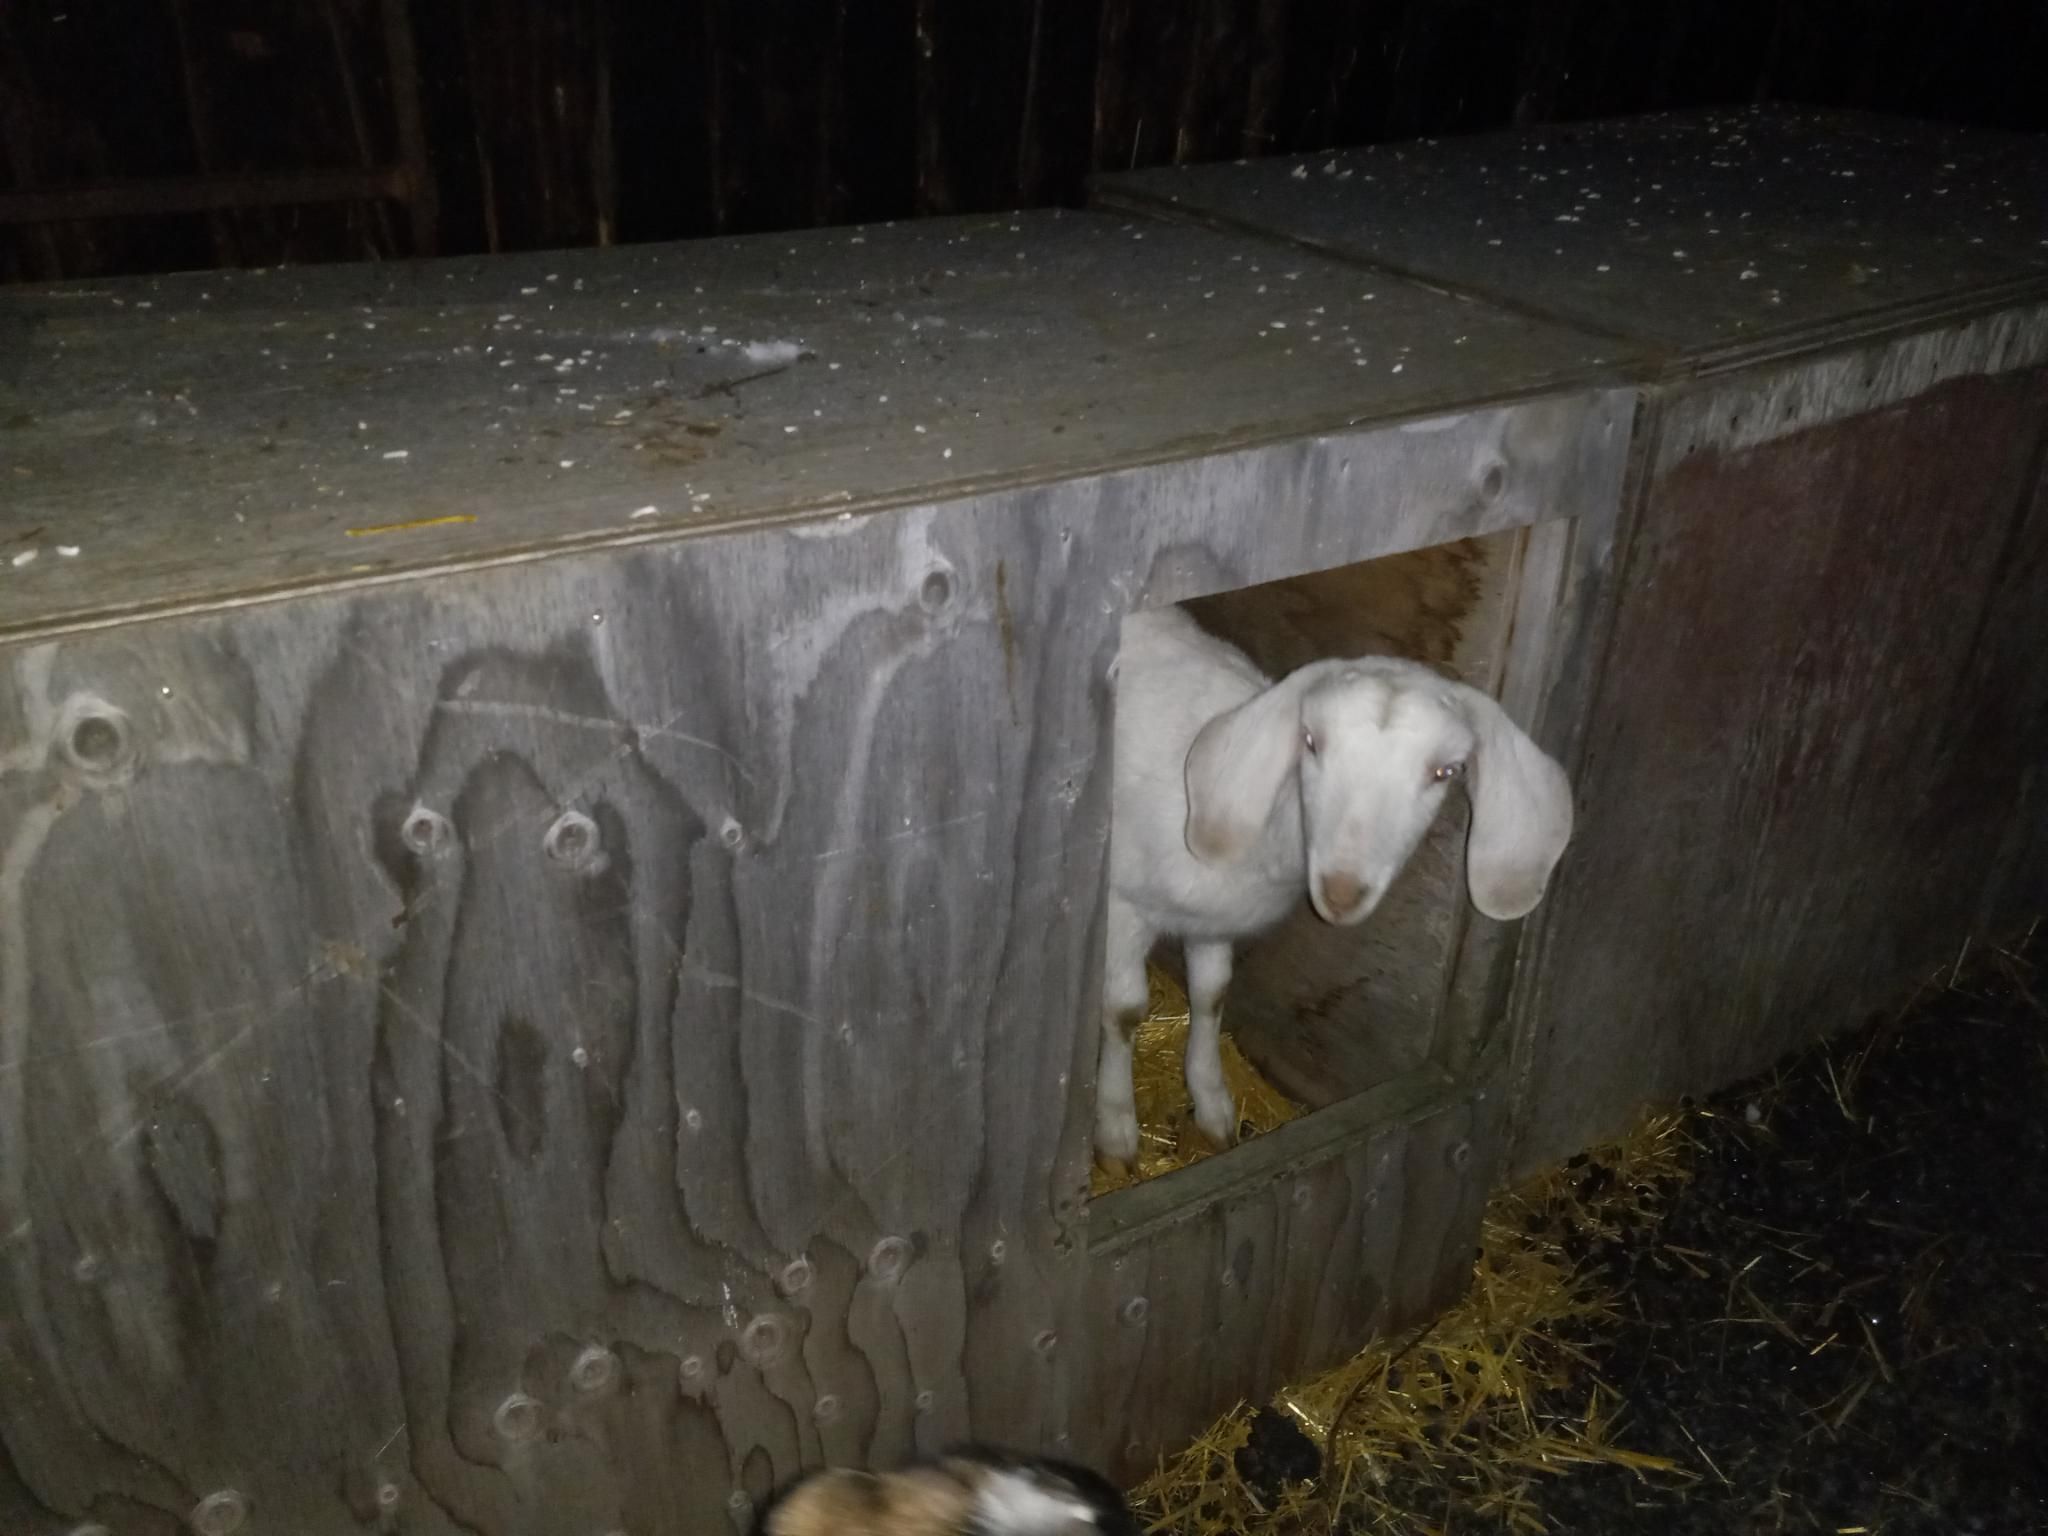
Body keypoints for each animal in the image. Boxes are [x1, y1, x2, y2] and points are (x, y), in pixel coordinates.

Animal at [1094, 603, 1574, 1176]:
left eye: (1446, 771)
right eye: (1310, 741)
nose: (1342, 891)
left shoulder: (1213, 923)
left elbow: (1211, 995)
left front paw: (1213, 1105)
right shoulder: (1121, 907)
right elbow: (1124, 1010)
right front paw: (1116, 1131)